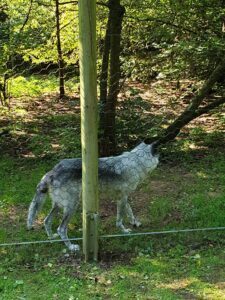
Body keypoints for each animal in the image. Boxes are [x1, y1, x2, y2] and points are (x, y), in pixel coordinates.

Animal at [27, 142, 159, 251]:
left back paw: (52, 238)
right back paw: (71, 247)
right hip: (72, 206)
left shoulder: (122, 197)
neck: (137, 162)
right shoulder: (122, 198)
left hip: (59, 206)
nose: (161, 159)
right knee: (61, 229)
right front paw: (124, 231)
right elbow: (120, 219)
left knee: (46, 221)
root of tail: (52, 172)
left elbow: (130, 212)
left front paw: (135, 223)